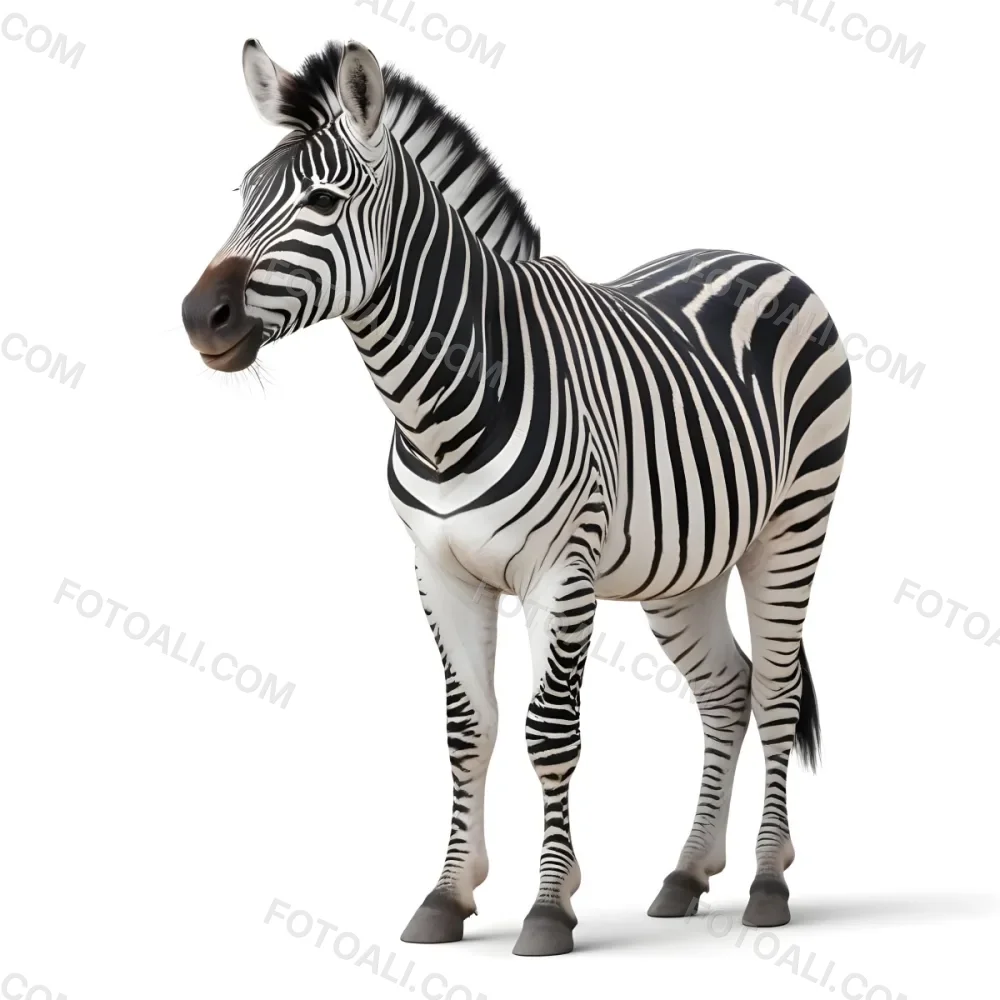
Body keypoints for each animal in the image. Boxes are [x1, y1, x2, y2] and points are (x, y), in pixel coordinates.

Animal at [181, 39, 852, 956]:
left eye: (321, 199)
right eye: (243, 195)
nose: (198, 317)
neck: (437, 405)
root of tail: (756, 258)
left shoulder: (560, 572)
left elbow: (549, 732)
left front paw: (548, 908)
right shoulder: (439, 573)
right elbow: (469, 728)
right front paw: (447, 896)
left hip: (791, 528)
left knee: (777, 691)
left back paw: (768, 882)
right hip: (687, 564)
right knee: (727, 691)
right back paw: (686, 874)